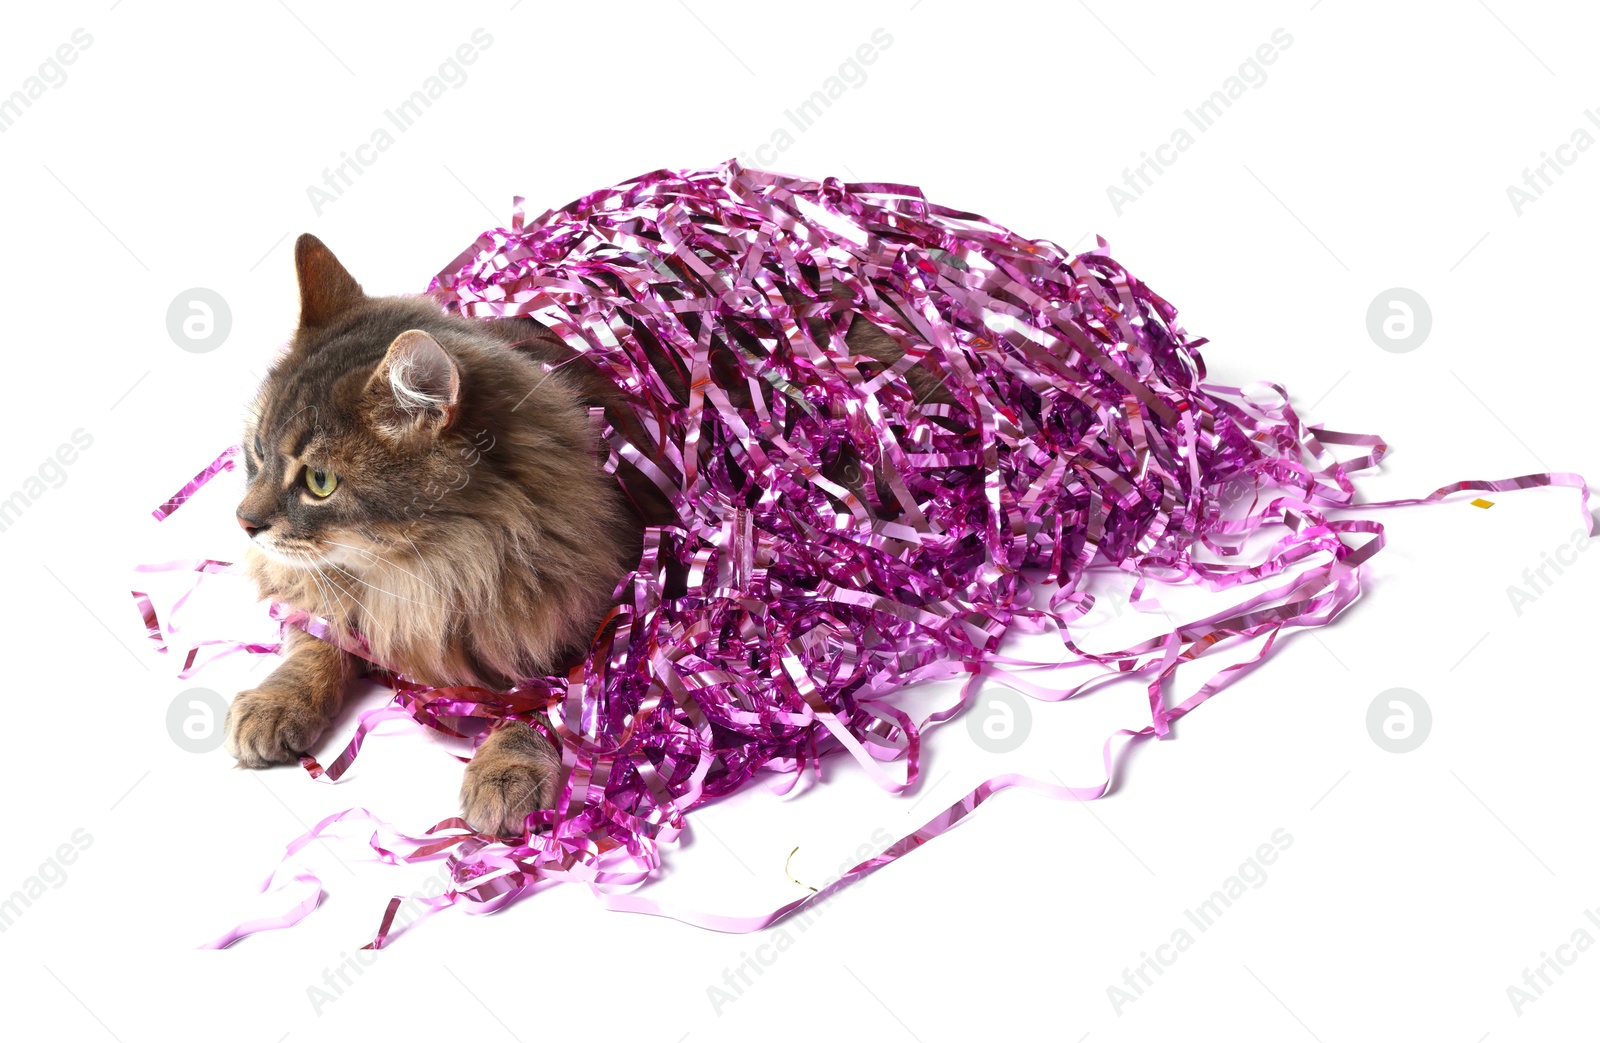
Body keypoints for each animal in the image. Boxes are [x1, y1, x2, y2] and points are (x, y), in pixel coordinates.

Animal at [224, 233, 928, 831]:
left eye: (319, 482)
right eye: (255, 453)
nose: (245, 522)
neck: (429, 564)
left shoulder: (627, 609)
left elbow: (549, 704)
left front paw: (504, 771)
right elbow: (316, 641)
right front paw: (276, 702)